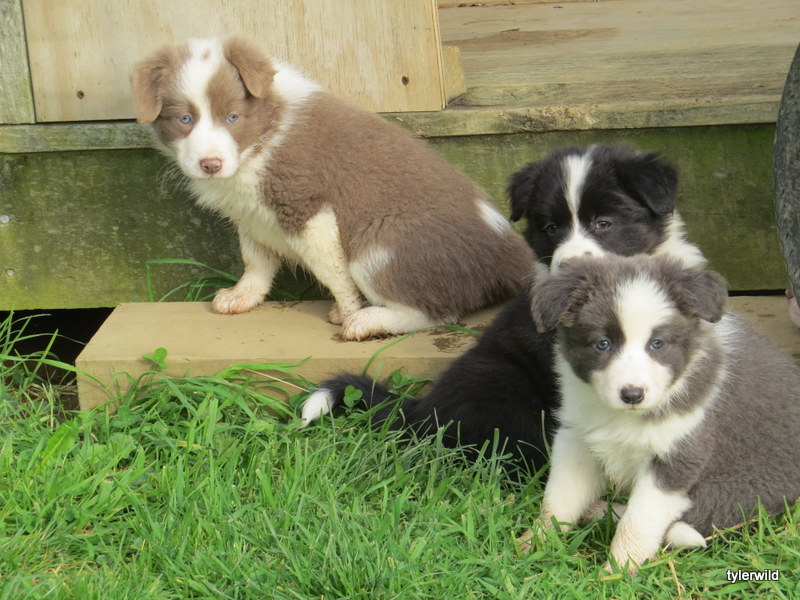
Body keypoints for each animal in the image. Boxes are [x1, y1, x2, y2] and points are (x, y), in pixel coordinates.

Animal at [130, 37, 532, 340]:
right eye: (184, 119)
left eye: (233, 117)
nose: (210, 164)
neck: (263, 137)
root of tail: (509, 251)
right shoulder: (252, 214)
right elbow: (255, 258)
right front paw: (242, 296)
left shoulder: (307, 209)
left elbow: (332, 272)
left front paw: (348, 309)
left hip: (379, 247)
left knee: (438, 312)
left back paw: (367, 321)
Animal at [528, 254, 800, 573]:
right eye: (602, 343)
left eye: (657, 344)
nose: (632, 394)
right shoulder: (578, 439)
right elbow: (558, 501)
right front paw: (532, 544)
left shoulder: (677, 458)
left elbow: (637, 522)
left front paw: (616, 572)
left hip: (738, 491)